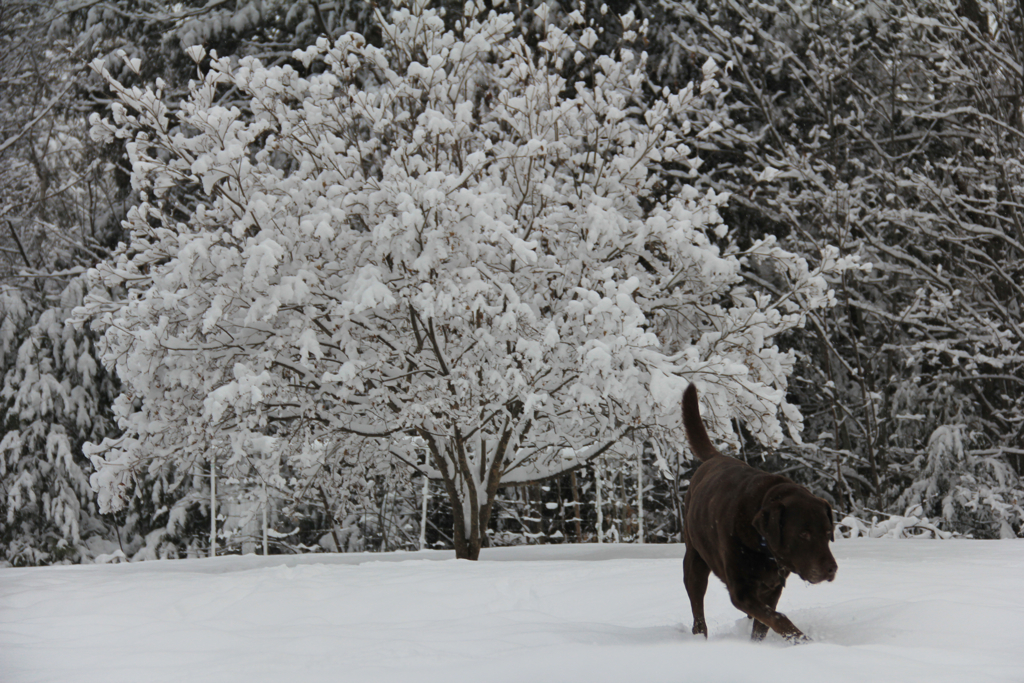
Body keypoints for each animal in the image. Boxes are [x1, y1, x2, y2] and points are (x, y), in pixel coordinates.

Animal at [679, 385, 831, 647]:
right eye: (804, 534)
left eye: (828, 532)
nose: (832, 568)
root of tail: (715, 457)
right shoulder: (741, 591)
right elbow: (778, 618)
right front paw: (803, 640)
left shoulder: (772, 589)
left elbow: (763, 624)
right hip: (694, 561)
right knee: (697, 609)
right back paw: (700, 637)